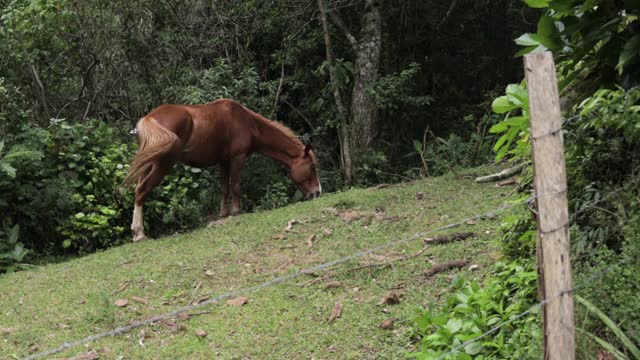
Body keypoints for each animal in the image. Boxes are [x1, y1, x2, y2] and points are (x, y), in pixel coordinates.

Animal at [124, 99, 322, 242]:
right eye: (311, 167)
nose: (318, 192)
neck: (247, 122)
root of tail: (148, 119)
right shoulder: (237, 159)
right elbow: (235, 186)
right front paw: (236, 211)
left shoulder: (223, 163)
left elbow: (224, 189)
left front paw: (223, 214)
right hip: (162, 165)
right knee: (141, 191)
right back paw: (139, 233)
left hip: (150, 163)